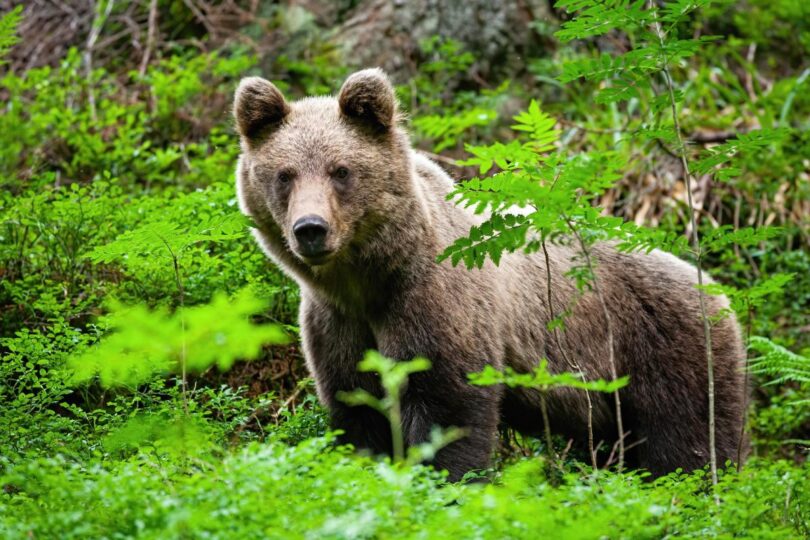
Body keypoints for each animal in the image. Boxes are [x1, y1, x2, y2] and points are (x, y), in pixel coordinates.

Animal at [230, 68, 740, 480]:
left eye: (340, 170)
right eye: (284, 174)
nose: (310, 229)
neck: (369, 280)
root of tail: (714, 286)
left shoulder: (436, 303)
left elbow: (448, 410)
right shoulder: (338, 324)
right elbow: (361, 413)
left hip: (658, 347)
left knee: (690, 440)